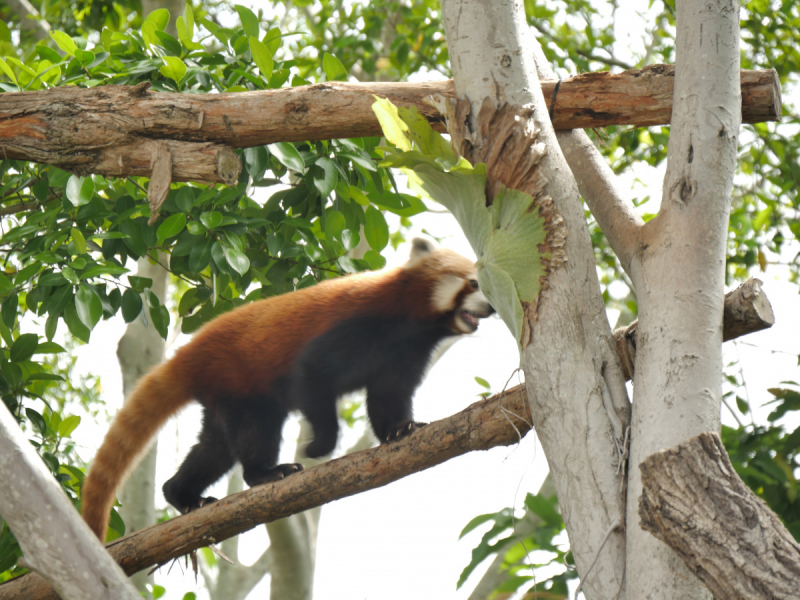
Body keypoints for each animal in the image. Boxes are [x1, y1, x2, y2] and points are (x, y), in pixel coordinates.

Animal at [81, 238, 494, 540]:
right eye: (473, 283)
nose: (492, 307)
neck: (408, 320)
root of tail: (192, 350)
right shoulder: (353, 327)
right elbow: (312, 376)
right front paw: (320, 446)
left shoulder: (402, 356)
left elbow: (388, 397)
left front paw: (401, 429)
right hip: (239, 378)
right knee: (255, 431)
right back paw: (266, 473)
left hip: (221, 393)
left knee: (215, 449)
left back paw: (181, 495)